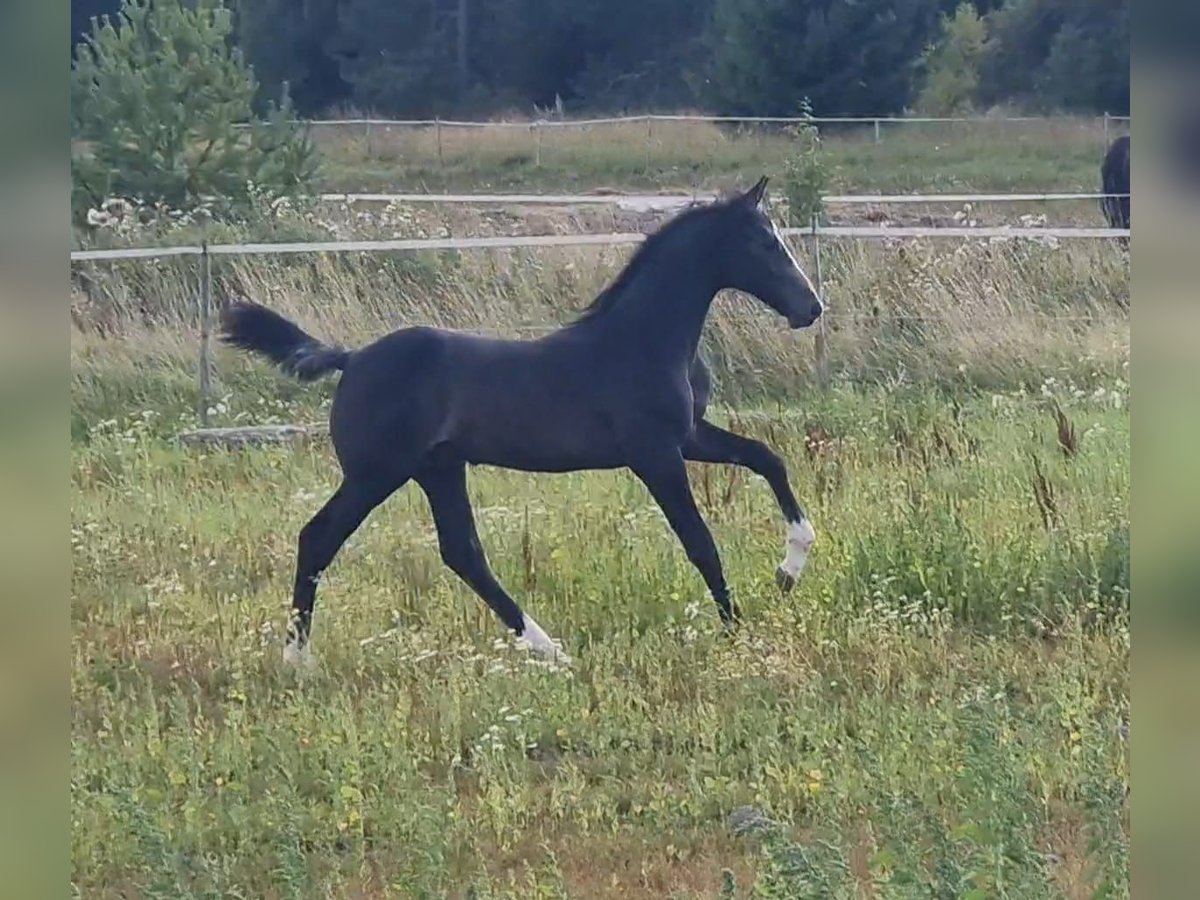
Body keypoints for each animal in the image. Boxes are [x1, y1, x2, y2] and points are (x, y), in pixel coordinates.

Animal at [220, 176, 825, 672]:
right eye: (765, 244)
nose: (812, 308)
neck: (644, 340)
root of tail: (352, 359)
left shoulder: (690, 437)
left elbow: (768, 458)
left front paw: (789, 569)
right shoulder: (654, 454)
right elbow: (700, 541)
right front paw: (737, 629)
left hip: (438, 469)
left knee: (462, 552)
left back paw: (548, 649)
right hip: (376, 474)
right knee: (319, 538)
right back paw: (296, 659)